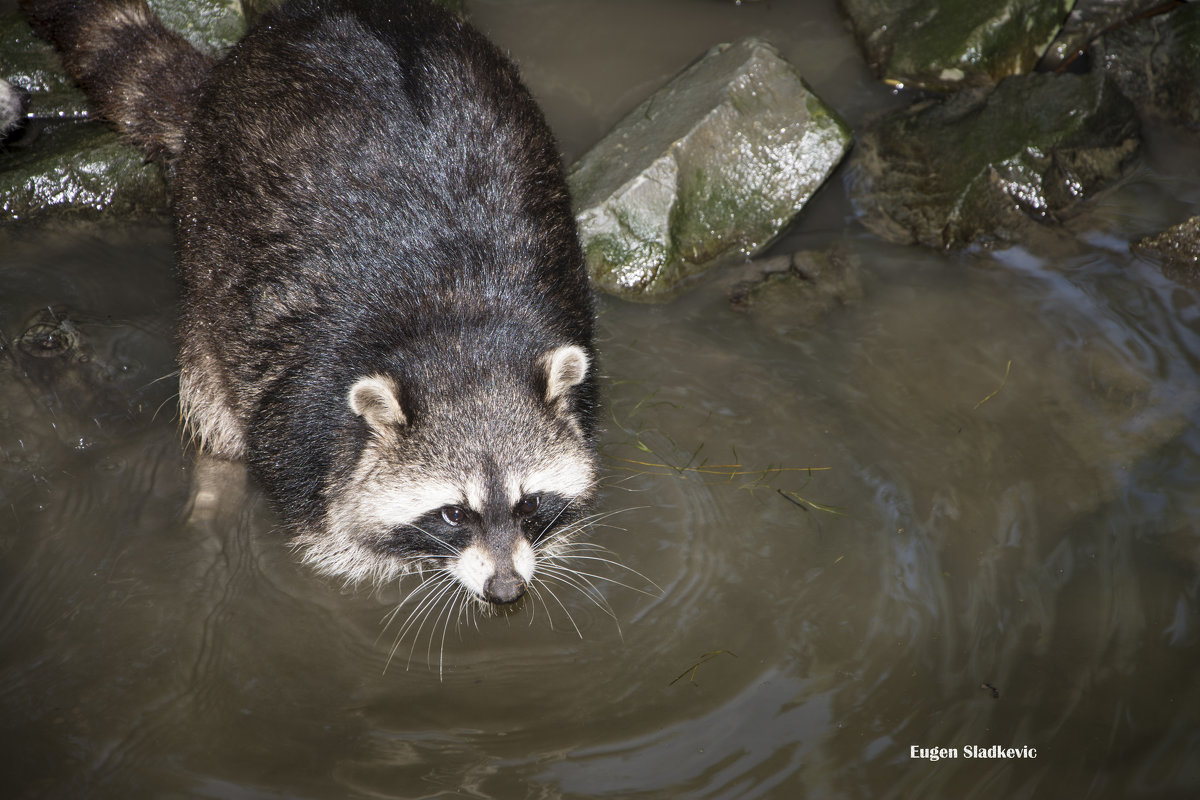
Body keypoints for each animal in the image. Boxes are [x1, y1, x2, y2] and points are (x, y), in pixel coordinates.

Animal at [25, 0, 609, 604]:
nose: (505, 590)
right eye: (452, 513)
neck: (456, 326)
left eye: (528, 501)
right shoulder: (302, 421)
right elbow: (332, 537)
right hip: (206, 222)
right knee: (210, 387)